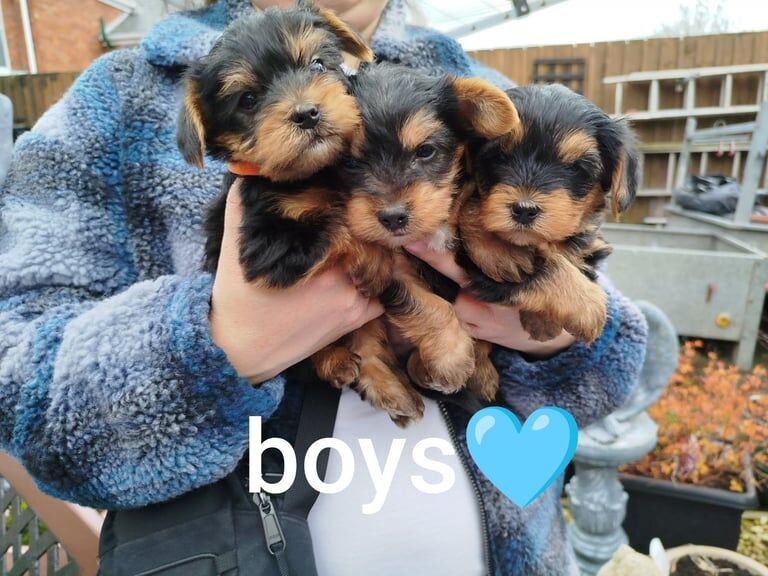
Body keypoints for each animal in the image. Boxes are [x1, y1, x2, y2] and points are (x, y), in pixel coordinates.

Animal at [178, 1, 376, 388]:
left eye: (318, 65)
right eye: (248, 100)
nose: (307, 113)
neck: (312, 173)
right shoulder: (271, 244)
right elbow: (339, 228)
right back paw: (335, 360)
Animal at [338, 63, 520, 424]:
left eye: (425, 151)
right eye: (348, 163)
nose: (393, 217)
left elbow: (471, 207)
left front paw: (499, 249)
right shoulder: (389, 271)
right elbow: (428, 306)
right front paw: (451, 359)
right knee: (366, 351)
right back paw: (395, 392)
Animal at [460, 83, 640, 400]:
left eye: (575, 168)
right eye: (499, 158)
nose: (524, 209)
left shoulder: (588, 247)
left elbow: (567, 258)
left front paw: (543, 324)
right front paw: (587, 305)